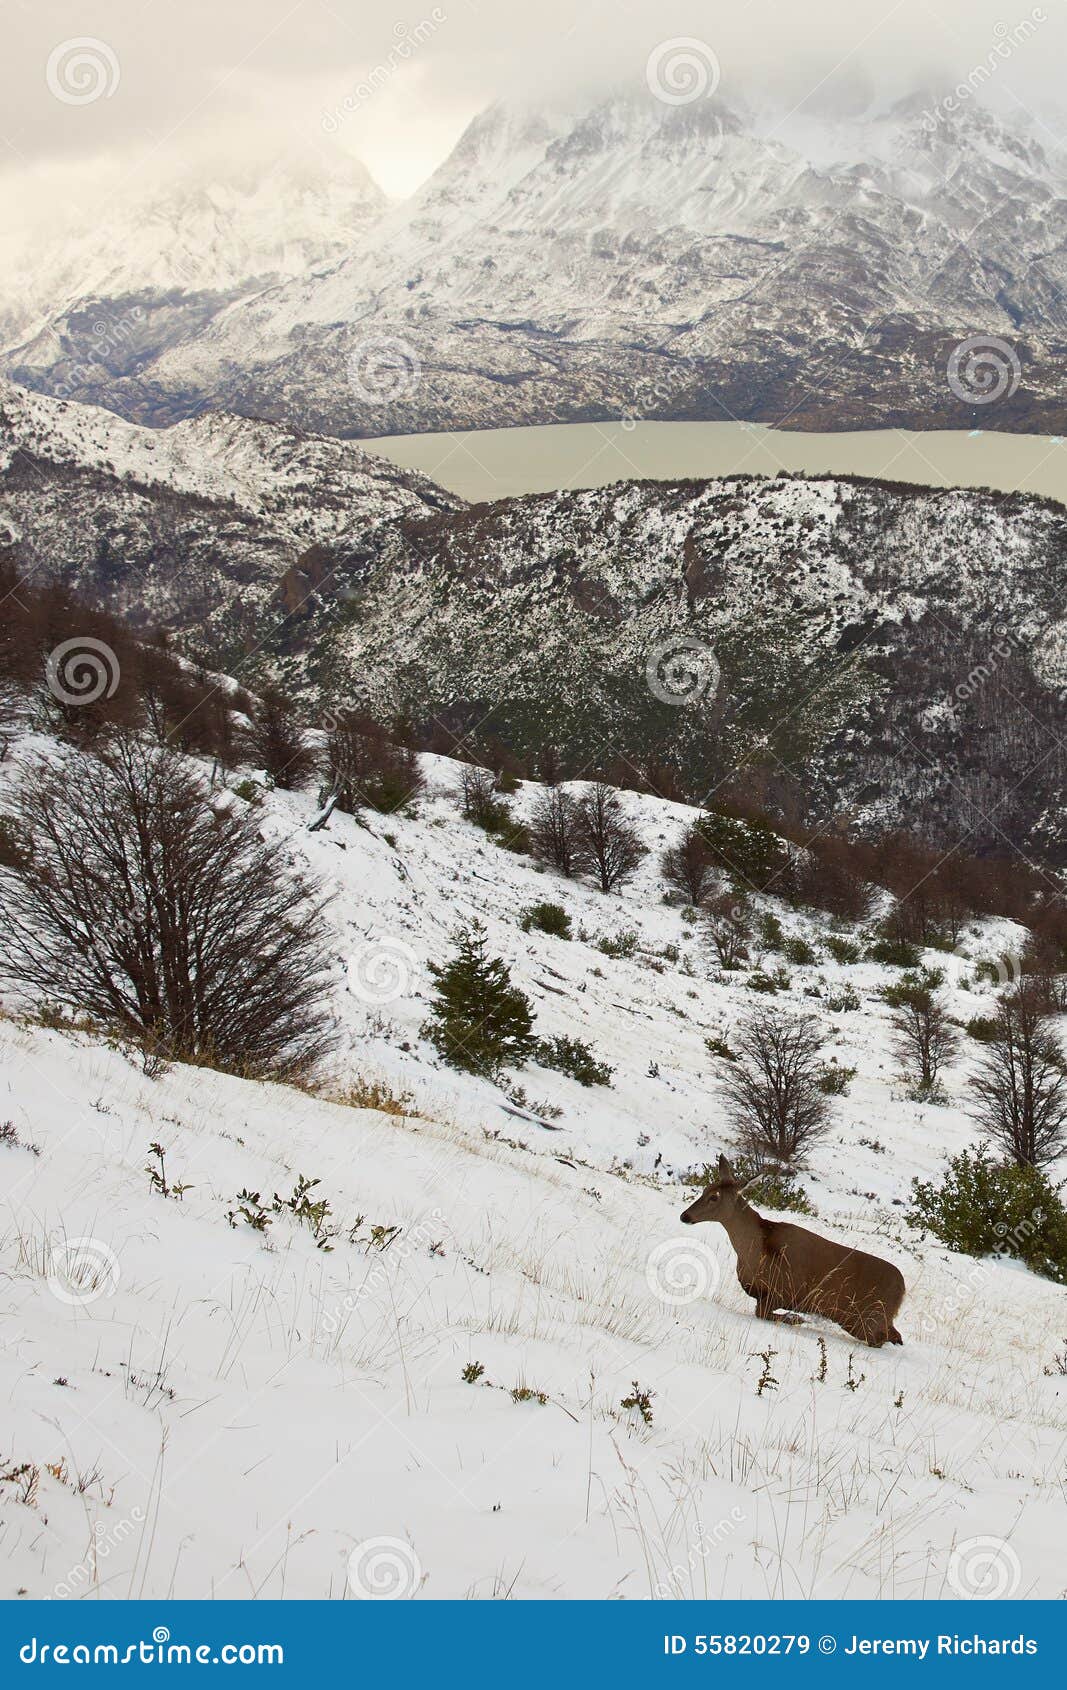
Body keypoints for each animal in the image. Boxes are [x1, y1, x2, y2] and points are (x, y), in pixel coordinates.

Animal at [679, 1149, 906, 1345]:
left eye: (714, 1197)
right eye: (705, 1189)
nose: (685, 1216)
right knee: (895, 1335)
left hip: (866, 1318)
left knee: (883, 1338)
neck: (755, 1251)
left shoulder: (786, 1292)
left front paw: (796, 1319)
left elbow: (763, 1313)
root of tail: (902, 1291)